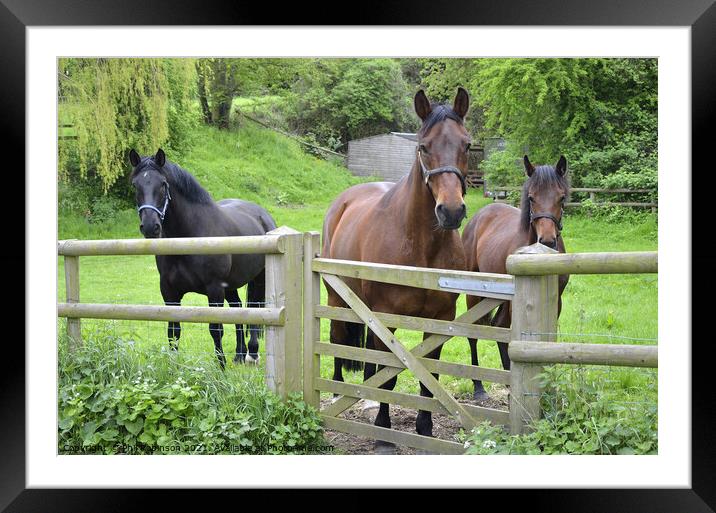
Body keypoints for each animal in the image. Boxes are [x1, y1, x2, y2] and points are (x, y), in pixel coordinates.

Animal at [127, 146, 276, 366]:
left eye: (162, 184)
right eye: (135, 185)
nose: (150, 226)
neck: (189, 238)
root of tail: (263, 215)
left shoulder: (214, 290)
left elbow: (216, 329)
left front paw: (221, 368)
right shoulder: (169, 292)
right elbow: (173, 331)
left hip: (259, 278)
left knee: (254, 309)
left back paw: (252, 353)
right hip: (230, 285)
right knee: (238, 307)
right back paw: (239, 354)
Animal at [322, 88, 472, 452]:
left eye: (467, 144)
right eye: (423, 146)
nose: (451, 211)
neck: (420, 247)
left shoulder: (440, 319)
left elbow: (428, 377)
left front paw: (425, 428)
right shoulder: (385, 315)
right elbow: (389, 377)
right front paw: (383, 434)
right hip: (337, 299)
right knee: (337, 339)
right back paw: (337, 393)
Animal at [464, 154, 572, 402]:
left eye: (561, 197)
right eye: (531, 197)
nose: (547, 240)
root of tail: (480, 215)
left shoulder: (557, 302)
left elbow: (548, 341)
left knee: (499, 327)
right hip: (476, 293)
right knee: (474, 333)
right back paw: (479, 387)